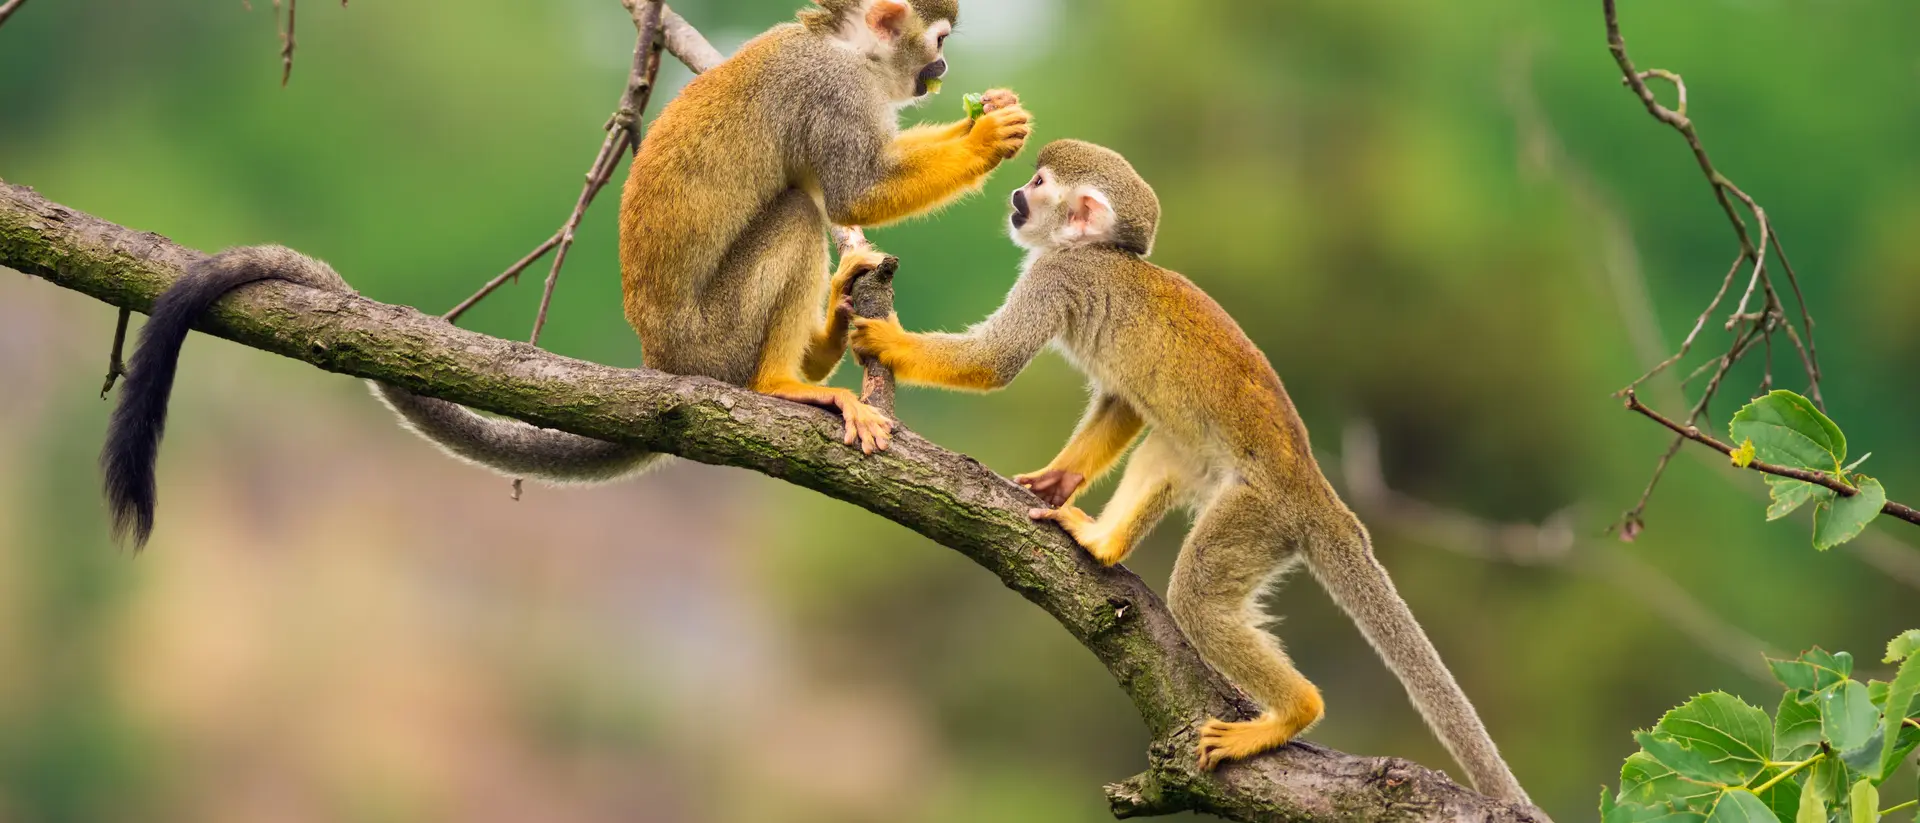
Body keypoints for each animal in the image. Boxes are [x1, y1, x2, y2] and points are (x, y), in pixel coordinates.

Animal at [101, 0, 1032, 547]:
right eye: (939, 41)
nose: (944, 71)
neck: (844, 49)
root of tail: (664, 364)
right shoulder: (830, 90)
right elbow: (850, 188)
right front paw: (988, 136)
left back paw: (833, 328)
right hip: (714, 337)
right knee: (799, 212)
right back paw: (784, 382)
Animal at [847, 139, 1531, 804]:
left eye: (1039, 185)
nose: (1016, 195)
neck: (1097, 253)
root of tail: (1319, 495)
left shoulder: (1057, 276)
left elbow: (997, 362)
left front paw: (886, 341)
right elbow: (1121, 402)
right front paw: (1058, 480)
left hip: (1260, 516)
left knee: (1198, 595)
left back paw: (1293, 712)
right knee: (1168, 445)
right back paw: (1103, 543)